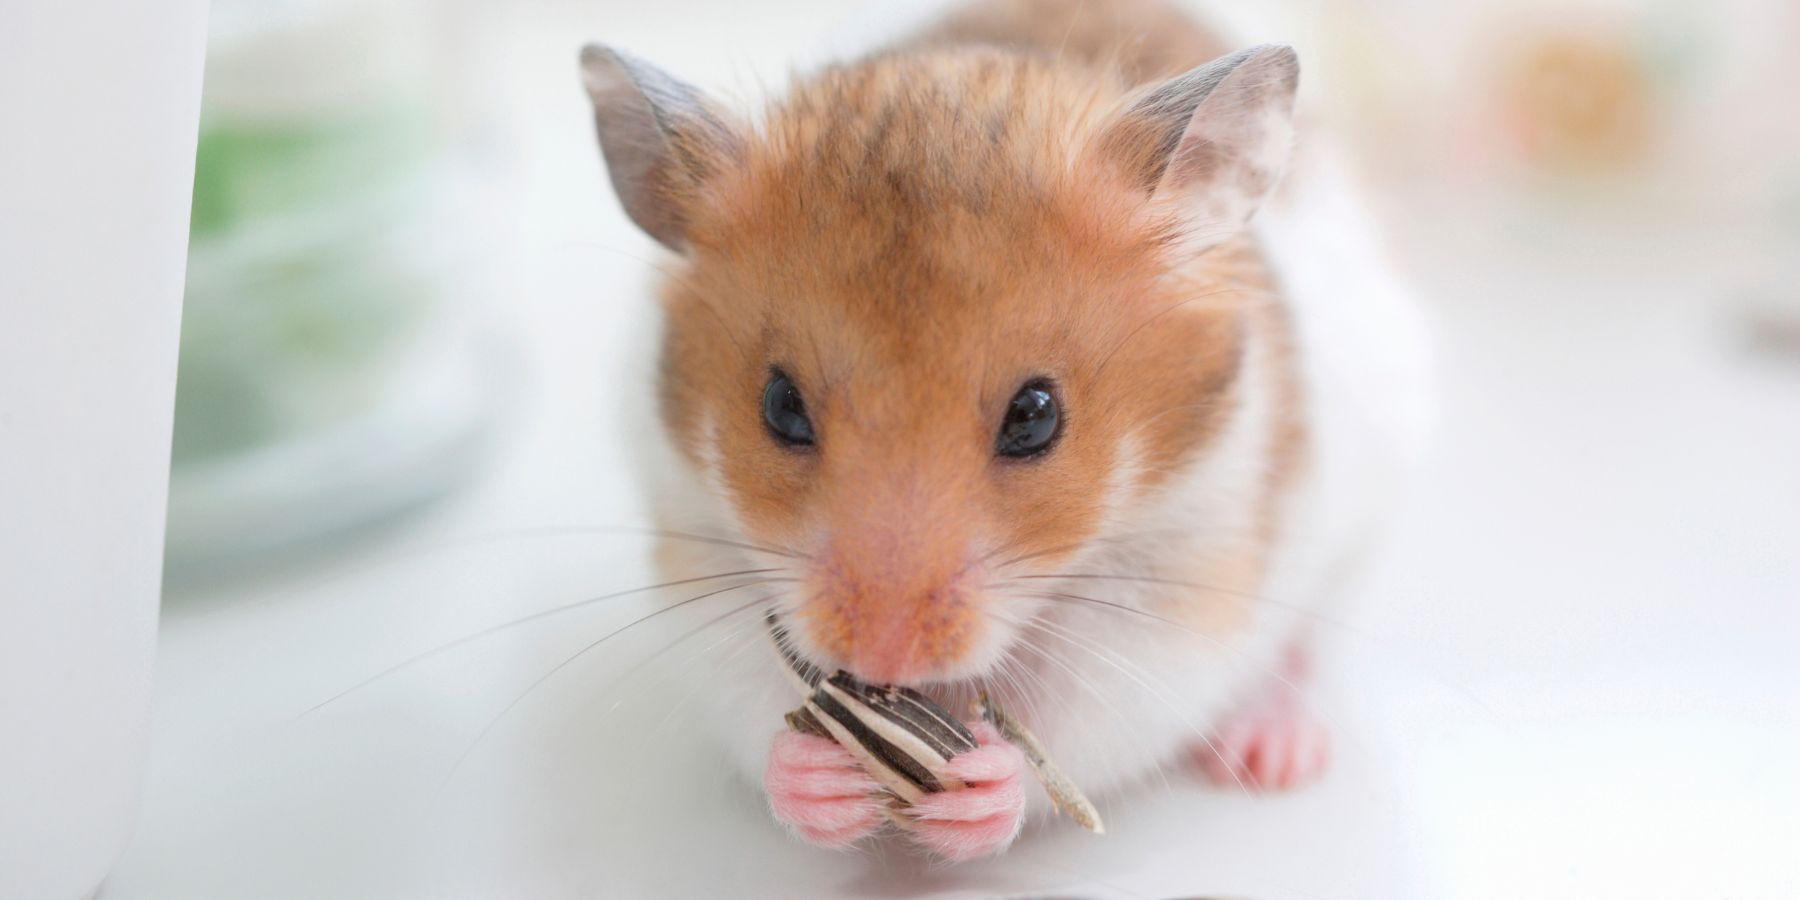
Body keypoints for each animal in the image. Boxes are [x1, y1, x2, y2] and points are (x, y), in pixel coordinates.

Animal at [578, 0, 1427, 862]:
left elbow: (1080, 721)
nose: (879, 658)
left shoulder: (1183, 585)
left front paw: (975, 786)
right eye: (780, 406)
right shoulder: (694, 546)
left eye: (1035, 417)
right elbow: (750, 694)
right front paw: (823, 782)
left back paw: (1274, 756)